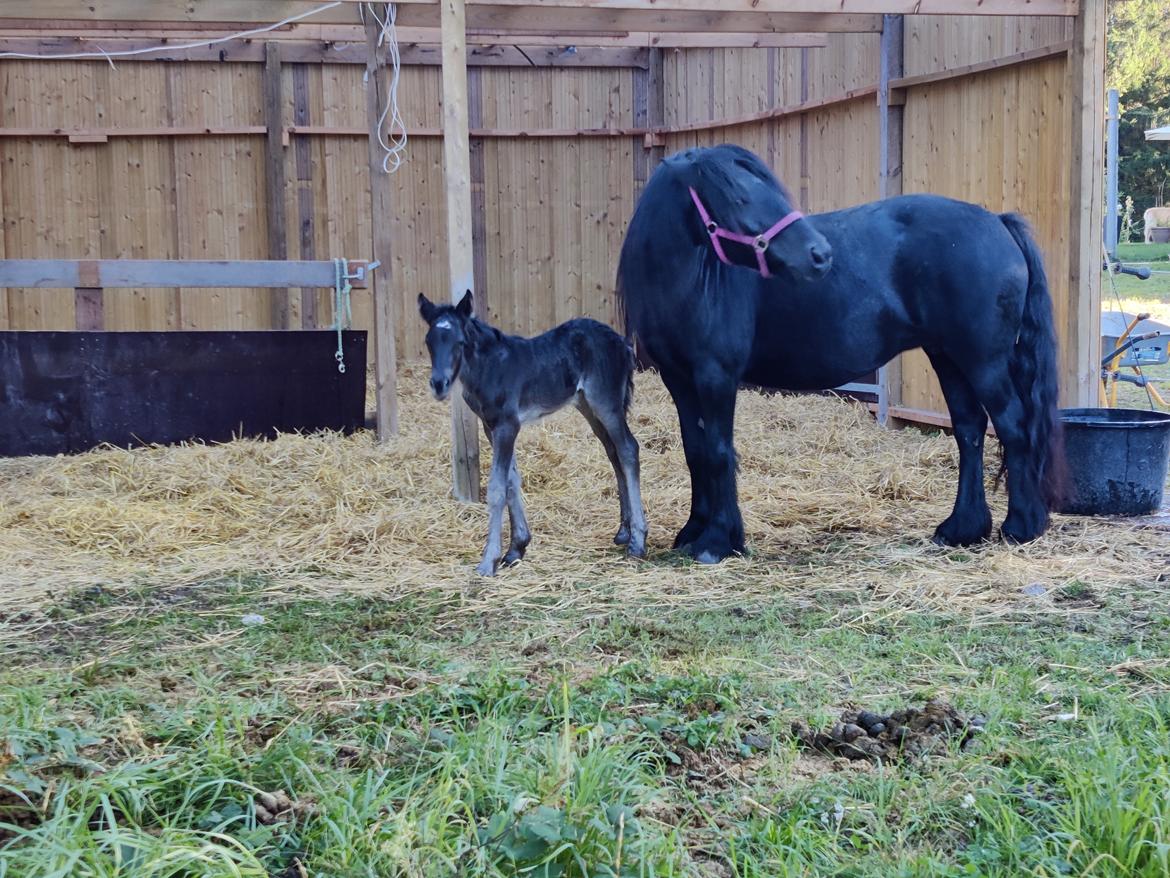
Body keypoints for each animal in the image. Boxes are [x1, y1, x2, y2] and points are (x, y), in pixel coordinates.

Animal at [418, 290, 647, 576]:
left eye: (459, 342)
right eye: (429, 341)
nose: (439, 384)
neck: (490, 367)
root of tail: (624, 344)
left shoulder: (507, 425)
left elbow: (497, 488)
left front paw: (488, 561)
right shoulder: (491, 426)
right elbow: (511, 479)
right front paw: (517, 547)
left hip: (606, 403)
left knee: (628, 449)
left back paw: (638, 541)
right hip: (588, 406)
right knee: (614, 454)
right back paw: (624, 531)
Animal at [617, 144, 1062, 564]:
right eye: (739, 198)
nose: (820, 254)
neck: (691, 279)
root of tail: (998, 223)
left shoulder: (716, 375)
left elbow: (718, 451)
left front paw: (717, 541)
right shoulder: (678, 378)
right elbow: (695, 450)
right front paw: (693, 531)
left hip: (984, 361)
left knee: (1013, 427)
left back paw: (1020, 526)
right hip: (948, 358)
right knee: (969, 430)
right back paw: (962, 528)